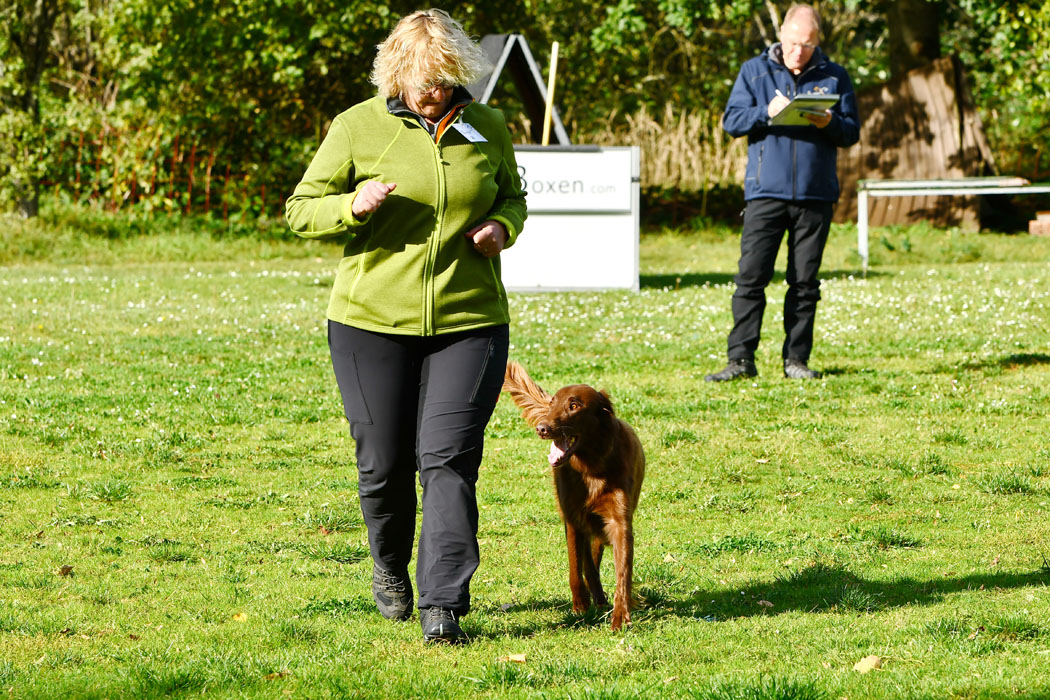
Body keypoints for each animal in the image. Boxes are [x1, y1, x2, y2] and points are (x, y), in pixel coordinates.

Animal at [501, 361, 642, 629]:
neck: (592, 467)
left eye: (574, 405)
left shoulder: (619, 521)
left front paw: (620, 616)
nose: (542, 428)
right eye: (552, 403)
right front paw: (581, 607)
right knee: (587, 563)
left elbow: (623, 572)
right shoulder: (573, 519)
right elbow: (575, 568)